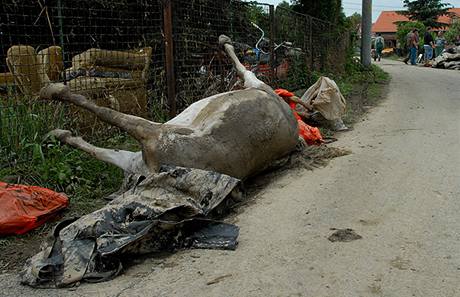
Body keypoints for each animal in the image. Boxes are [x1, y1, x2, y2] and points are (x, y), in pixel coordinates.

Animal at [42, 34, 298, 178]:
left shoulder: (257, 84)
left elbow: (242, 67)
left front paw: (225, 41)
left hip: (156, 135)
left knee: (114, 117)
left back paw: (53, 93)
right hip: (138, 157)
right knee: (104, 148)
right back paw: (58, 133)